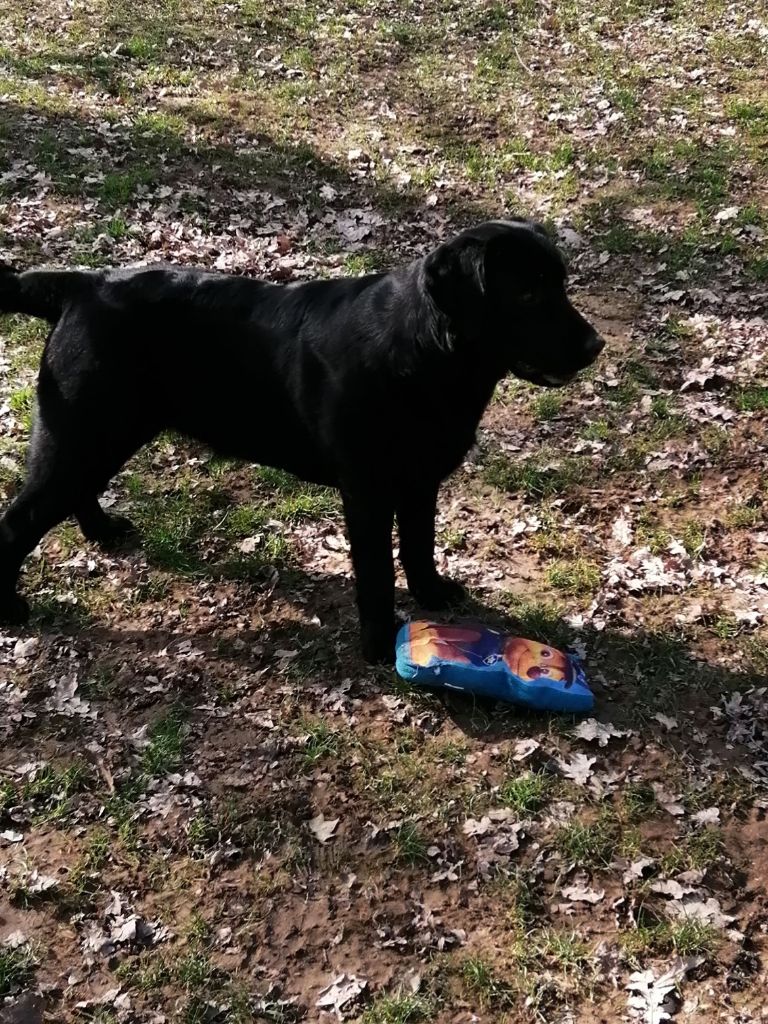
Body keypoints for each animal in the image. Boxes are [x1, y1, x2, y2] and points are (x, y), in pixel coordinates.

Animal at [0, 220, 602, 659]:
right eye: (528, 293)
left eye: (561, 284)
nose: (595, 344)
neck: (430, 354)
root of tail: (82, 284)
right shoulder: (367, 492)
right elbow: (377, 574)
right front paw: (379, 644)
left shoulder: (420, 481)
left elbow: (419, 545)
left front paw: (432, 595)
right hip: (82, 434)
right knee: (17, 522)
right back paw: (12, 609)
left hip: (98, 437)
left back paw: (102, 532)